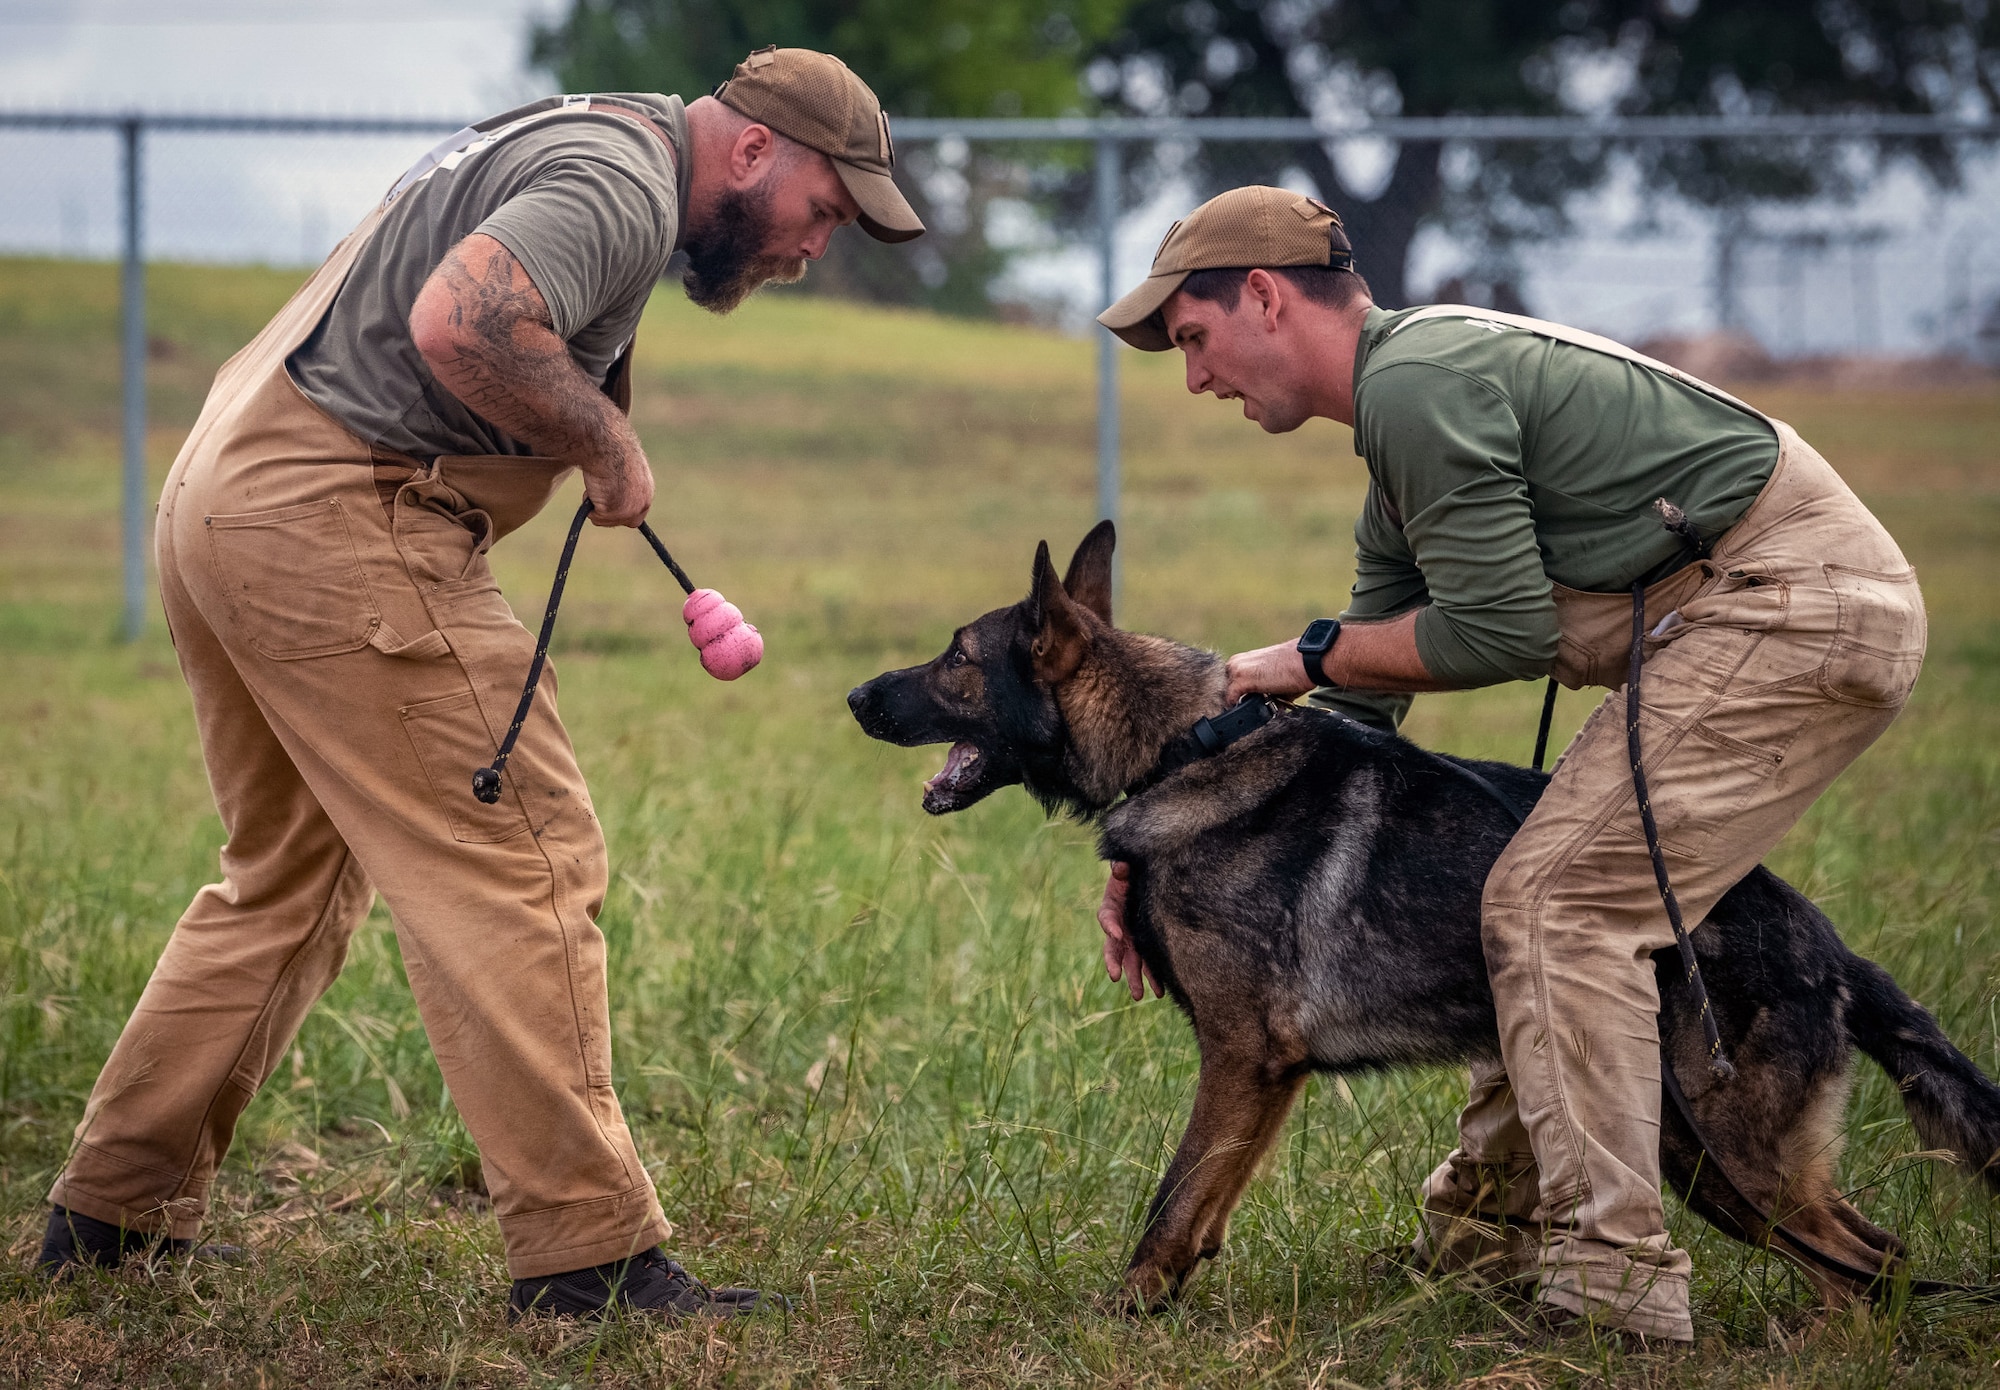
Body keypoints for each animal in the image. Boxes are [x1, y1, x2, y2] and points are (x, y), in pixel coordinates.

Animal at [844, 524, 2000, 1312]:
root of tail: (1831, 947)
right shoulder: (1265, 1077)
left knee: (1878, 1266)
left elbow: (1173, 1197)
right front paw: (1168, 1302)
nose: (855, 698)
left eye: (956, 658)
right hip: (1703, 1156)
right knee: (1866, 1267)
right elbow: (1208, 1202)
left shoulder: (1242, 1055)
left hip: (1730, 1152)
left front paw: (1126, 1311)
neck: (1178, 748)